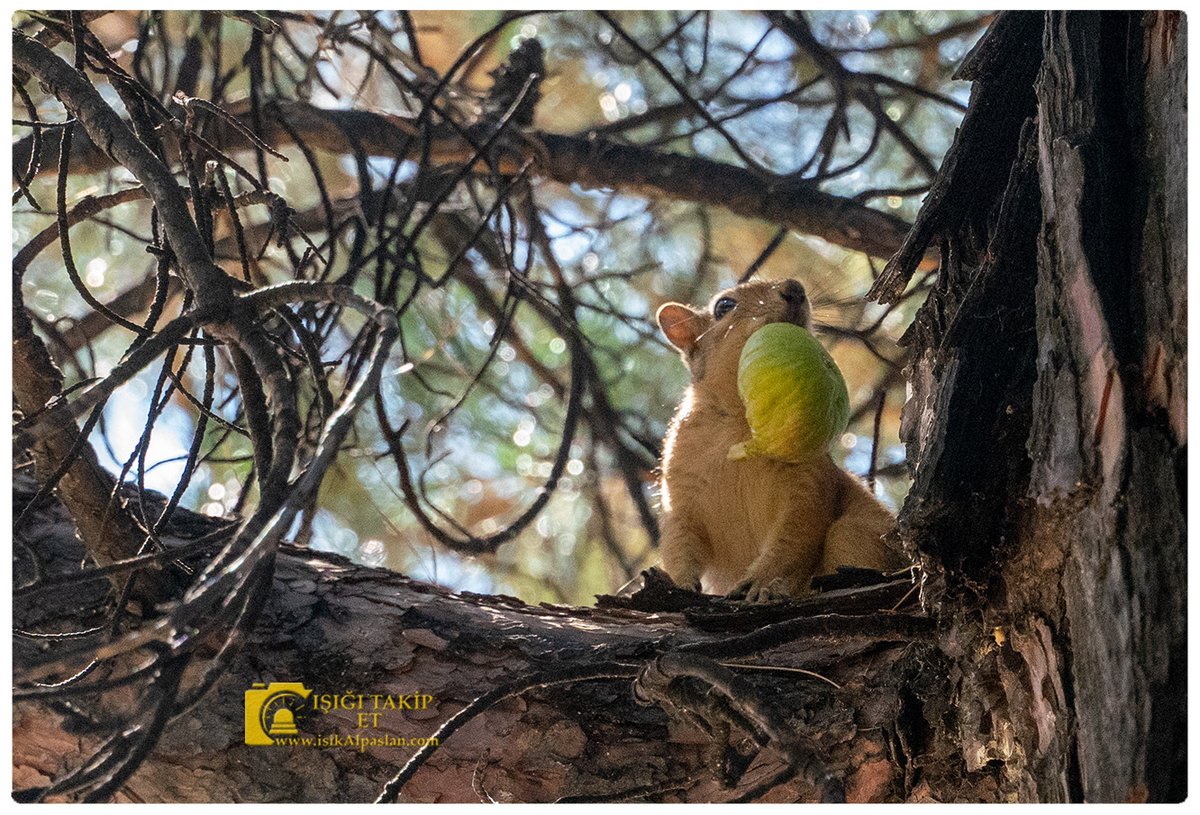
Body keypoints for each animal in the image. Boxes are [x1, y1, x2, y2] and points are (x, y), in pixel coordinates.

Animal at [655, 277, 898, 602]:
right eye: (724, 306)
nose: (795, 288)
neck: (743, 423)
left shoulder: (808, 481)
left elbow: (794, 537)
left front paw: (762, 583)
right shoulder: (680, 489)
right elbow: (678, 540)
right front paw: (680, 582)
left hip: (856, 532)